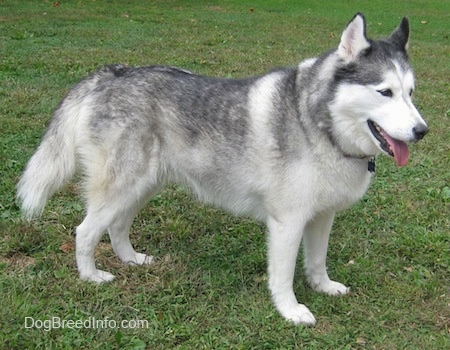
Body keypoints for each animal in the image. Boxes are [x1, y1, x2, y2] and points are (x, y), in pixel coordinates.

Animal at [17, 13, 428, 326]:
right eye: (385, 92)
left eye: (410, 92)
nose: (422, 131)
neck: (318, 124)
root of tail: (113, 73)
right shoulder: (287, 222)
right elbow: (283, 275)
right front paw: (290, 311)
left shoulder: (321, 216)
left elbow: (316, 260)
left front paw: (322, 286)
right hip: (120, 186)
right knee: (85, 231)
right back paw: (91, 277)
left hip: (141, 186)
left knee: (117, 226)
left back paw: (132, 259)